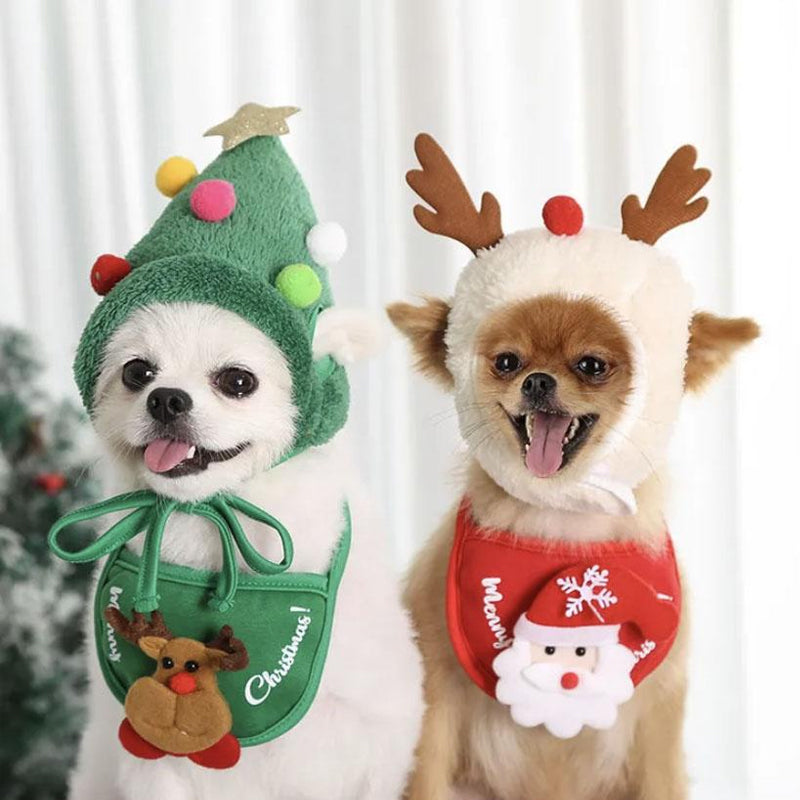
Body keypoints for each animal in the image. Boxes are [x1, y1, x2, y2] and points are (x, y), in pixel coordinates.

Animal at [67, 302, 424, 800]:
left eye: (238, 381)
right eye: (136, 372)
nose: (166, 398)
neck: (209, 523)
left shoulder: (374, 726)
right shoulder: (152, 762)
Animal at [388, 138, 756, 800]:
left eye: (592, 365)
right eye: (507, 362)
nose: (538, 380)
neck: (562, 524)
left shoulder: (659, 710)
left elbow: (663, 775)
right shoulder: (436, 691)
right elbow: (424, 773)